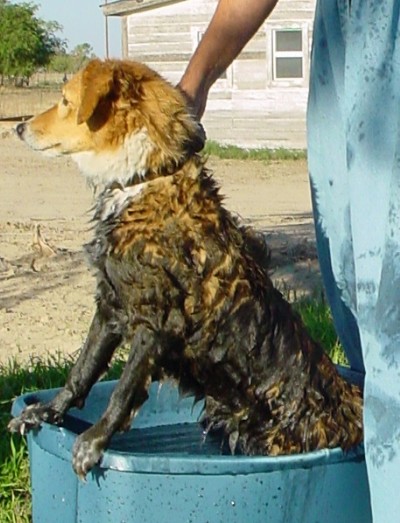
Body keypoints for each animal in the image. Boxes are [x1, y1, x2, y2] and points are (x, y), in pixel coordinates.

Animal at [9, 59, 364, 482]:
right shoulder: (110, 307)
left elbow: (122, 390)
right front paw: (48, 412)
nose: (17, 128)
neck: (143, 179)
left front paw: (94, 440)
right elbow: (81, 370)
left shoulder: (157, 324)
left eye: (65, 100)